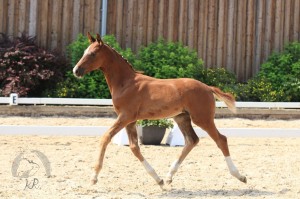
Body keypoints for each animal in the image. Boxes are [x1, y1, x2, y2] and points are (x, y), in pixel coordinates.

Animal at [72, 33, 246, 188]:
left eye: (93, 53)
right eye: (84, 52)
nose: (76, 70)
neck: (126, 83)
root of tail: (208, 88)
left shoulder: (125, 116)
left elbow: (105, 138)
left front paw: (93, 177)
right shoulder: (130, 120)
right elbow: (134, 147)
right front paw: (159, 181)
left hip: (202, 118)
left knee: (221, 139)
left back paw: (239, 176)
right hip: (182, 117)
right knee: (192, 140)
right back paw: (169, 177)